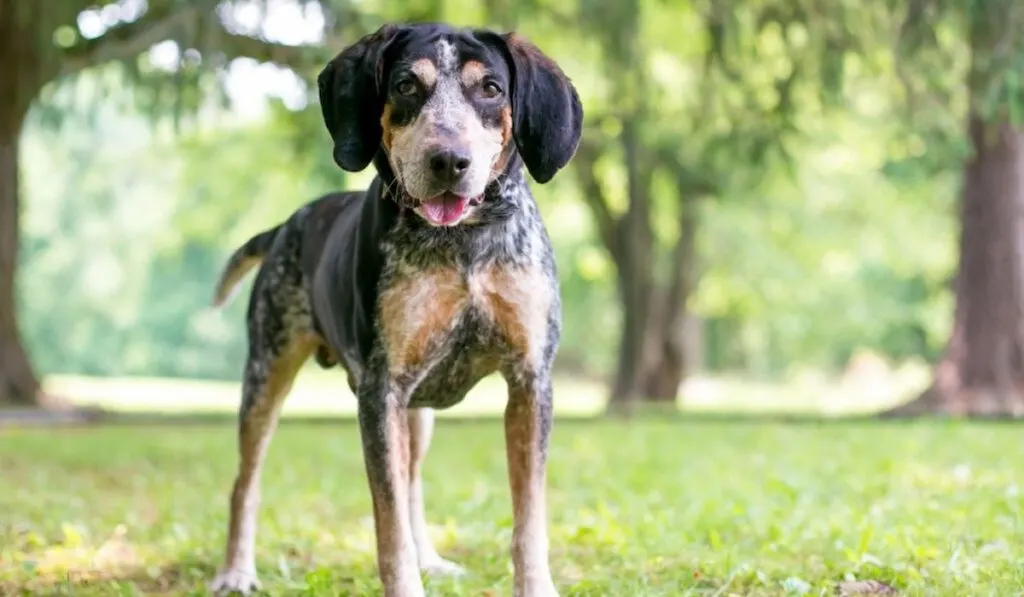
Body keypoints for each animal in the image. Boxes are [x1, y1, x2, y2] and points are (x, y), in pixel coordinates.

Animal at [205, 22, 585, 597]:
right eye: (406, 86)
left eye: (490, 89)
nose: (449, 160)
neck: (463, 243)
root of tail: (288, 225)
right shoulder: (381, 390)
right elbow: (389, 527)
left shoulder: (530, 381)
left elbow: (529, 518)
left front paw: (534, 584)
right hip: (267, 377)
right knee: (244, 483)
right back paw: (236, 571)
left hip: (417, 414)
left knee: (412, 485)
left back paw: (433, 558)